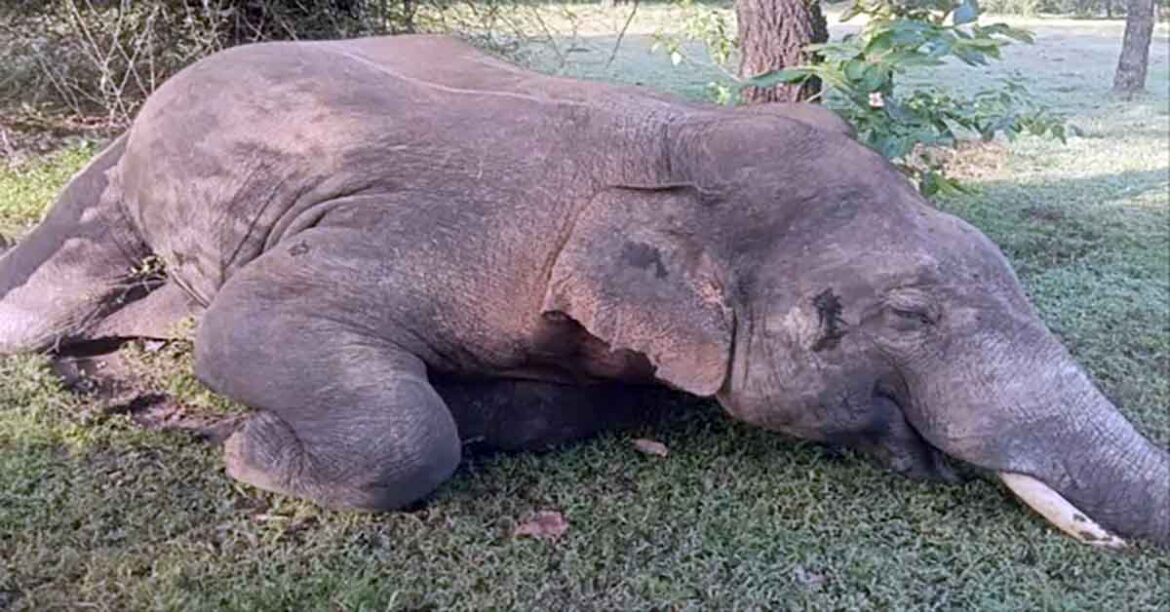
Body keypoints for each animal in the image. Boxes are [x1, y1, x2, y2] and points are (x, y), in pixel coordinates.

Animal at [0, 35, 1165, 548]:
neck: (668, 141)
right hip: (122, 169)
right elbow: (255, 323)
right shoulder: (440, 234)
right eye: (913, 316)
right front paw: (249, 449)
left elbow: (568, 403)